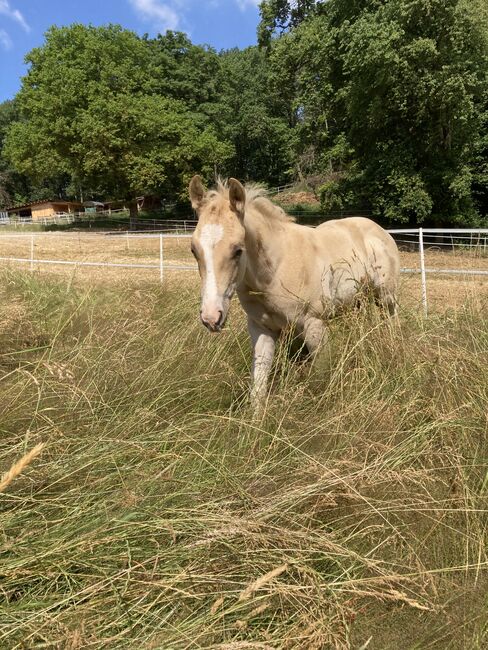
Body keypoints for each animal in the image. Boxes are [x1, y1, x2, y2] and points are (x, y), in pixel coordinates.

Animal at [189, 175, 398, 402]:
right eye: (193, 250)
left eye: (237, 250)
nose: (211, 317)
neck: (275, 271)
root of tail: (380, 230)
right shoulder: (261, 329)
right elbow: (259, 386)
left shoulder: (315, 325)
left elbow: (319, 378)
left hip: (387, 298)